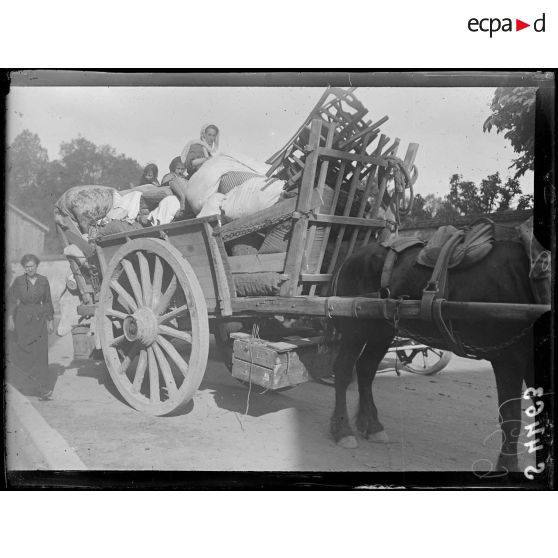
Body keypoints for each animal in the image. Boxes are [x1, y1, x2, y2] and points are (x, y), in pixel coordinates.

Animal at [330, 234, 544, 474]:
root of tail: (352, 257)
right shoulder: (508, 358)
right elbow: (511, 416)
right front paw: (508, 465)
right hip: (354, 326)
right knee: (343, 370)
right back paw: (342, 430)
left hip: (383, 328)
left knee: (366, 369)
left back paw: (372, 425)